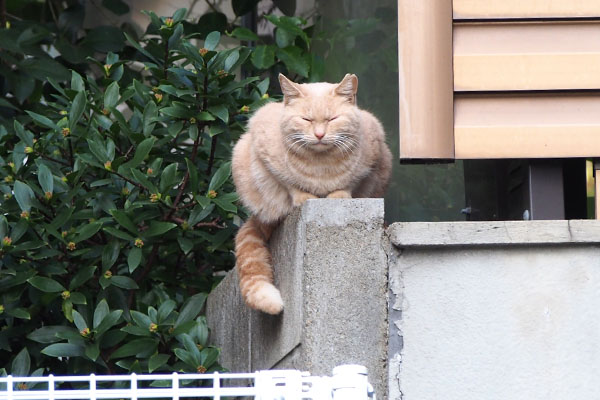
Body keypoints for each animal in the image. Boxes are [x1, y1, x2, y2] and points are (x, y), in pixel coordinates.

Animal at [232, 73, 392, 314]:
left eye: (332, 119)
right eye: (306, 119)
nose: (319, 134)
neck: (321, 167)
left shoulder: (371, 158)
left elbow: (348, 184)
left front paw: (339, 196)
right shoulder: (265, 153)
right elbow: (290, 184)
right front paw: (303, 197)